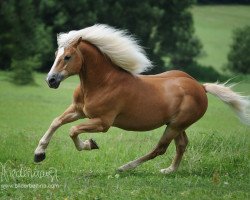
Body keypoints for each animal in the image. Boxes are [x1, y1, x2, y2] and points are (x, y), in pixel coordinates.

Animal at [33, 23, 250, 173]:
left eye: (67, 57)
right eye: (56, 54)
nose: (51, 80)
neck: (102, 83)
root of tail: (201, 87)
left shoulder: (103, 123)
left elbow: (72, 130)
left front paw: (90, 144)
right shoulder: (78, 110)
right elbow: (56, 122)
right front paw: (39, 154)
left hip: (175, 125)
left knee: (160, 149)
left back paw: (125, 167)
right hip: (176, 125)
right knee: (181, 145)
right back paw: (169, 170)